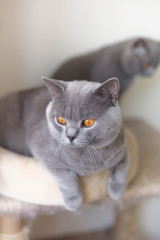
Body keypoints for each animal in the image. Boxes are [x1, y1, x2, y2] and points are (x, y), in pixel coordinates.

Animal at [0, 77, 129, 210]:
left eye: (88, 122)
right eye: (61, 120)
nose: (70, 136)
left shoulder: (122, 147)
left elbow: (122, 167)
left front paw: (117, 191)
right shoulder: (43, 151)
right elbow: (66, 176)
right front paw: (73, 201)